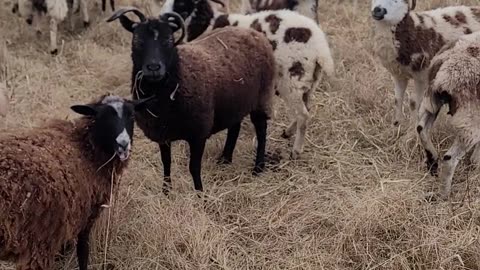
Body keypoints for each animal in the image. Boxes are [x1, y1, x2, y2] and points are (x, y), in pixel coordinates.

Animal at [0, 94, 153, 270]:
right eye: (103, 117)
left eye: (132, 116)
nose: (123, 144)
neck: (86, 148)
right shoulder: (86, 217)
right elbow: (83, 251)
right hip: (36, 243)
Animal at [107, 7, 276, 192]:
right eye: (137, 40)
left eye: (169, 40)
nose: (153, 68)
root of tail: (253, 32)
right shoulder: (162, 133)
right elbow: (166, 162)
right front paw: (166, 191)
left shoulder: (198, 134)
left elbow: (194, 167)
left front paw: (200, 193)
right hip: (235, 101)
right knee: (234, 127)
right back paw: (225, 159)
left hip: (262, 96)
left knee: (261, 130)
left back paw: (258, 167)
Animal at [159, 0, 336, 159]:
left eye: (181, 4)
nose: (161, 17)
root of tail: (320, 49)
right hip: (309, 82)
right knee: (307, 108)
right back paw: (287, 132)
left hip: (291, 81)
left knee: (303, 115)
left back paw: (296, 151)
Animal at [416, 32, 480, 200]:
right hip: (470, 119)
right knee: (449, 159)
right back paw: (444, 196)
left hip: (430, 100)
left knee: (421, 128)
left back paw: (432, 162)